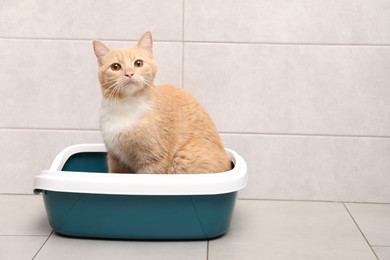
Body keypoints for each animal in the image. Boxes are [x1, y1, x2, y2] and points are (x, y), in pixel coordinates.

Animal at [93, 31, 232, 174]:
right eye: (115, 67)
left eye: (138, 63)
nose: (129, 74)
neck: (126, 105)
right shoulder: (115, 158)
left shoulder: (153, 160)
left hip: (181, 160)